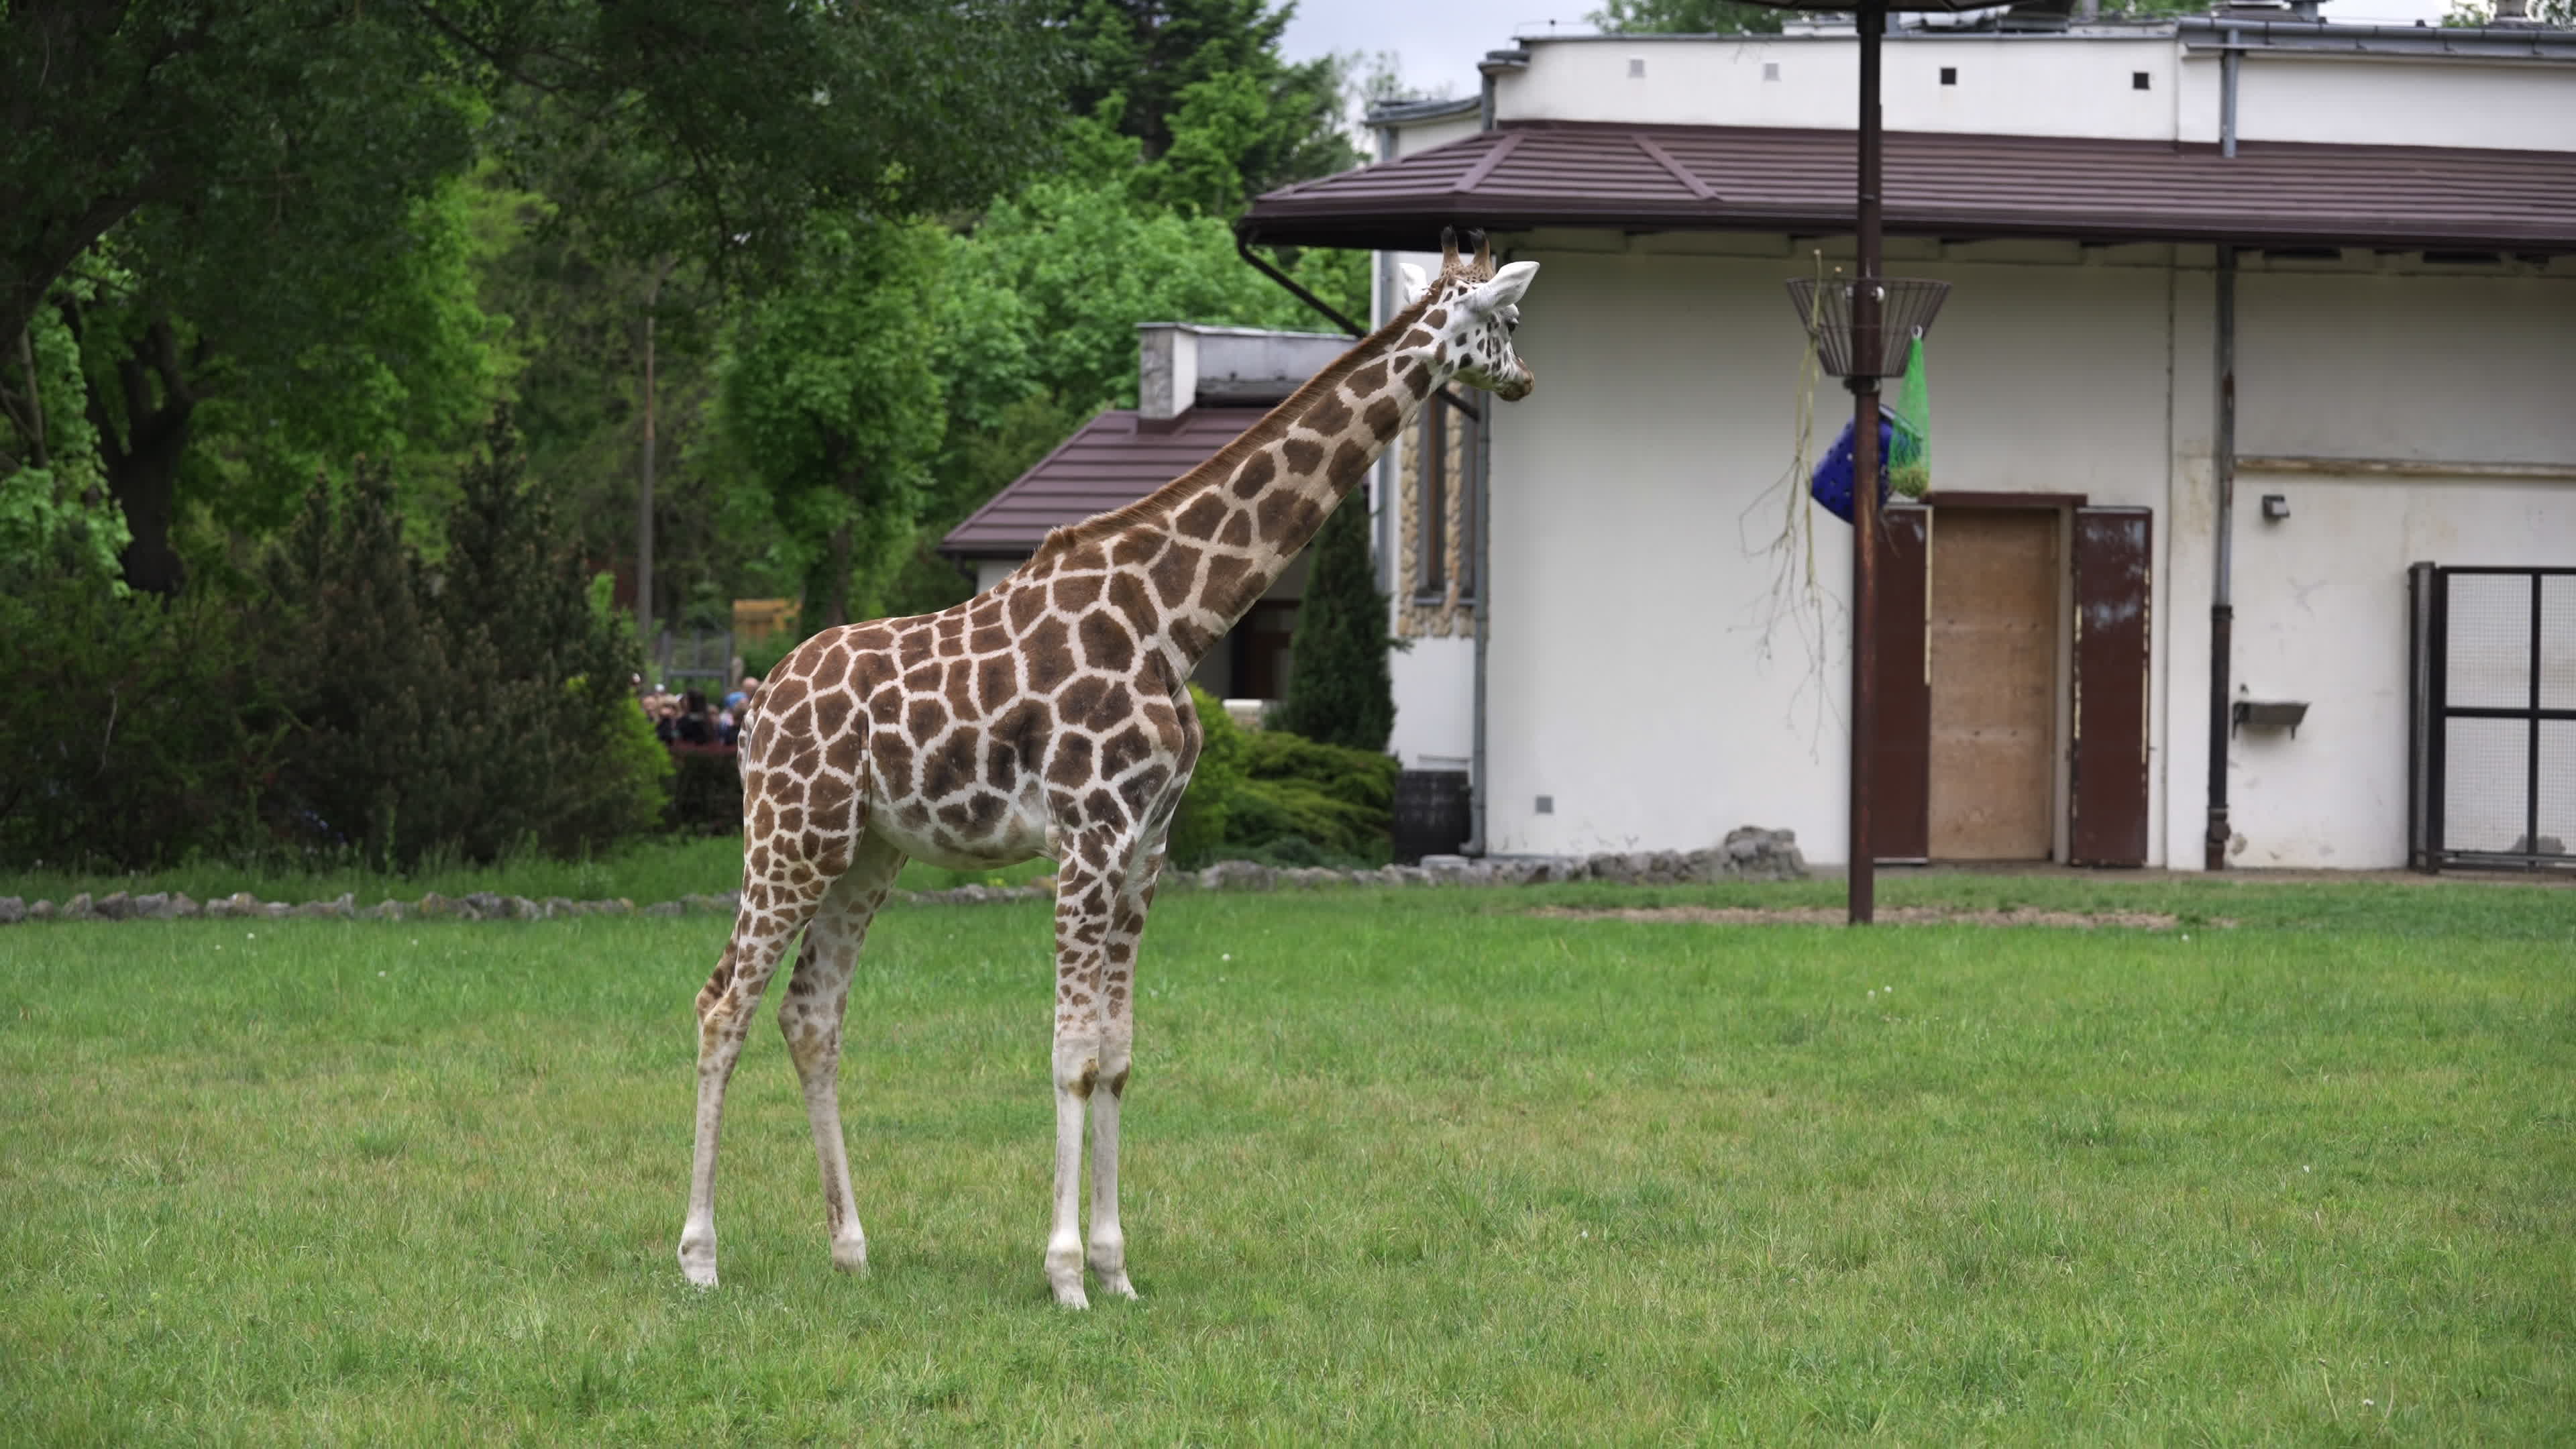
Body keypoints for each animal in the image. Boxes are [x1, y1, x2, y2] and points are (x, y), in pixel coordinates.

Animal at [678, 231, 1541, 1308]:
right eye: (1509, 320)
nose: (1526, 381)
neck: (1177, 617)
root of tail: (756, 707)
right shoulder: (1089, 835)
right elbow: (1073, 1055)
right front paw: (1064, 1276)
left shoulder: (1148, 844)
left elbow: (1121, 1055)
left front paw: (1116, 1268)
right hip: (790, 834)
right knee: (723, 1003)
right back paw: (700, 1259)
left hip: (867, 851)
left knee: (811, 1014)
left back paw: (852, 1249)